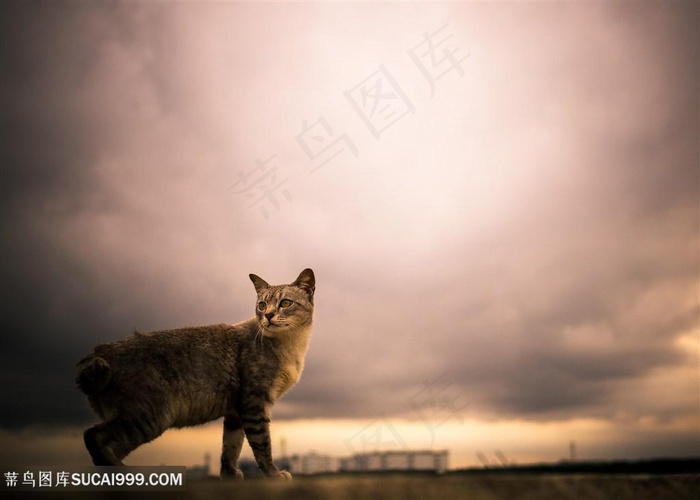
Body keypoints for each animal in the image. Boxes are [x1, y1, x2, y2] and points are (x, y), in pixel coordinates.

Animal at [74, 270, 314, 480]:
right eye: (262, 305)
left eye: (285, 303)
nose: (268, 315)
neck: (291, 345)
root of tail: (99, 351)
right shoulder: (254, 404)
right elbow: (262, 444)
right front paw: (274, 474)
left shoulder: (236, 411)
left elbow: (231, 447)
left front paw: (229, 475)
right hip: (149, 417)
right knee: (92, 436)